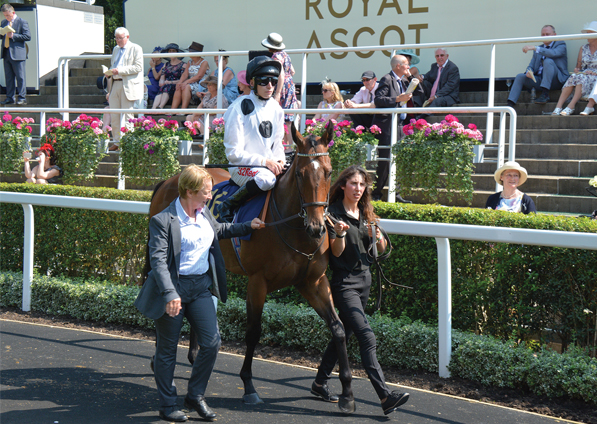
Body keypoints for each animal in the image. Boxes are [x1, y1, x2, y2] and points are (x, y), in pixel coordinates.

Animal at [146, 121, 354, 412]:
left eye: (329, 172)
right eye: (300, 174)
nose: (317, 228)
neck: (290, 227)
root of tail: (169, 180)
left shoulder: (312, 282)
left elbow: (338, 328)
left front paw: (346, 393)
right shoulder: (258, 282)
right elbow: (253, 332)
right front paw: (249, 386)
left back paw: (195, 355)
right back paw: (159, 358)